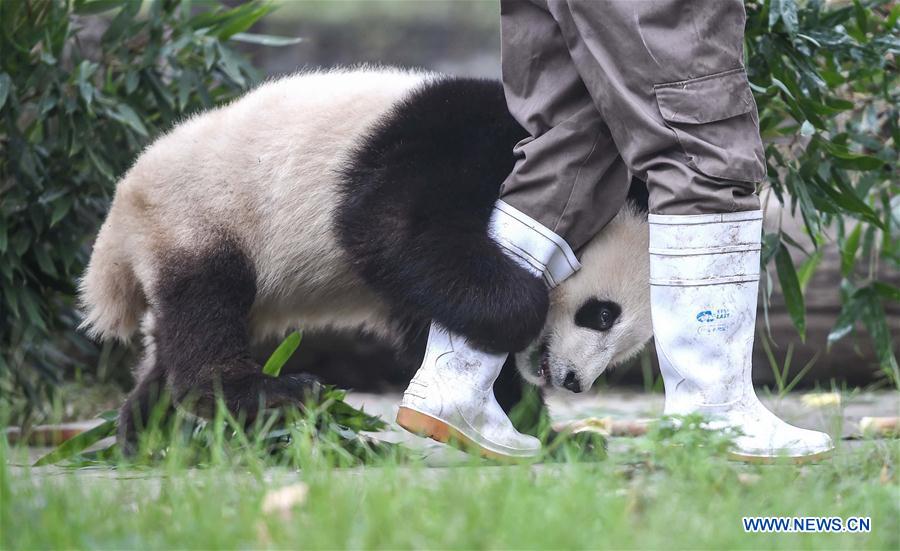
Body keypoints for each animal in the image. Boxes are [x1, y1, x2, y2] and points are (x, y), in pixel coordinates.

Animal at [78, 67, 653, 449]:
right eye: (603, 314)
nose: (574, 382)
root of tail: (121, 211)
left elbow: (432, 315)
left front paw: (552, 435)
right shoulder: (463, 143)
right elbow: (391, 226)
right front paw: (524, 309)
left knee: (172, 340)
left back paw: (151, 433)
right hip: (203, 214)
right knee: (206, 301)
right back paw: (265, 395)